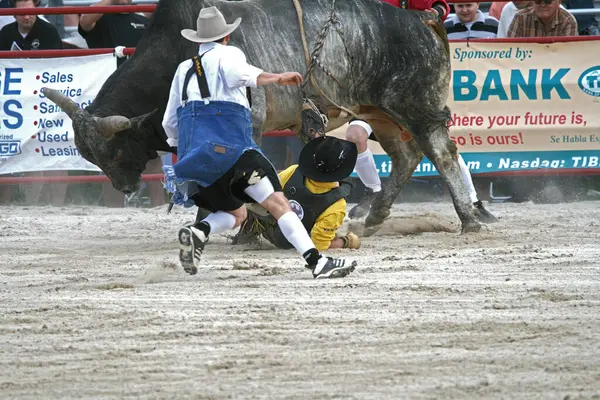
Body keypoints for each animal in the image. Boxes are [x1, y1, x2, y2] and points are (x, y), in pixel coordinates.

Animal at [42, 0, 486, 234]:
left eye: (115, 153)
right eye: (90, 156)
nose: (124, 186)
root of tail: (425, 19)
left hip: (417, 107)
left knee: (442, 154)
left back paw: (470, 219)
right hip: (379, 113)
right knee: (406, 157)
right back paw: (373, 217)